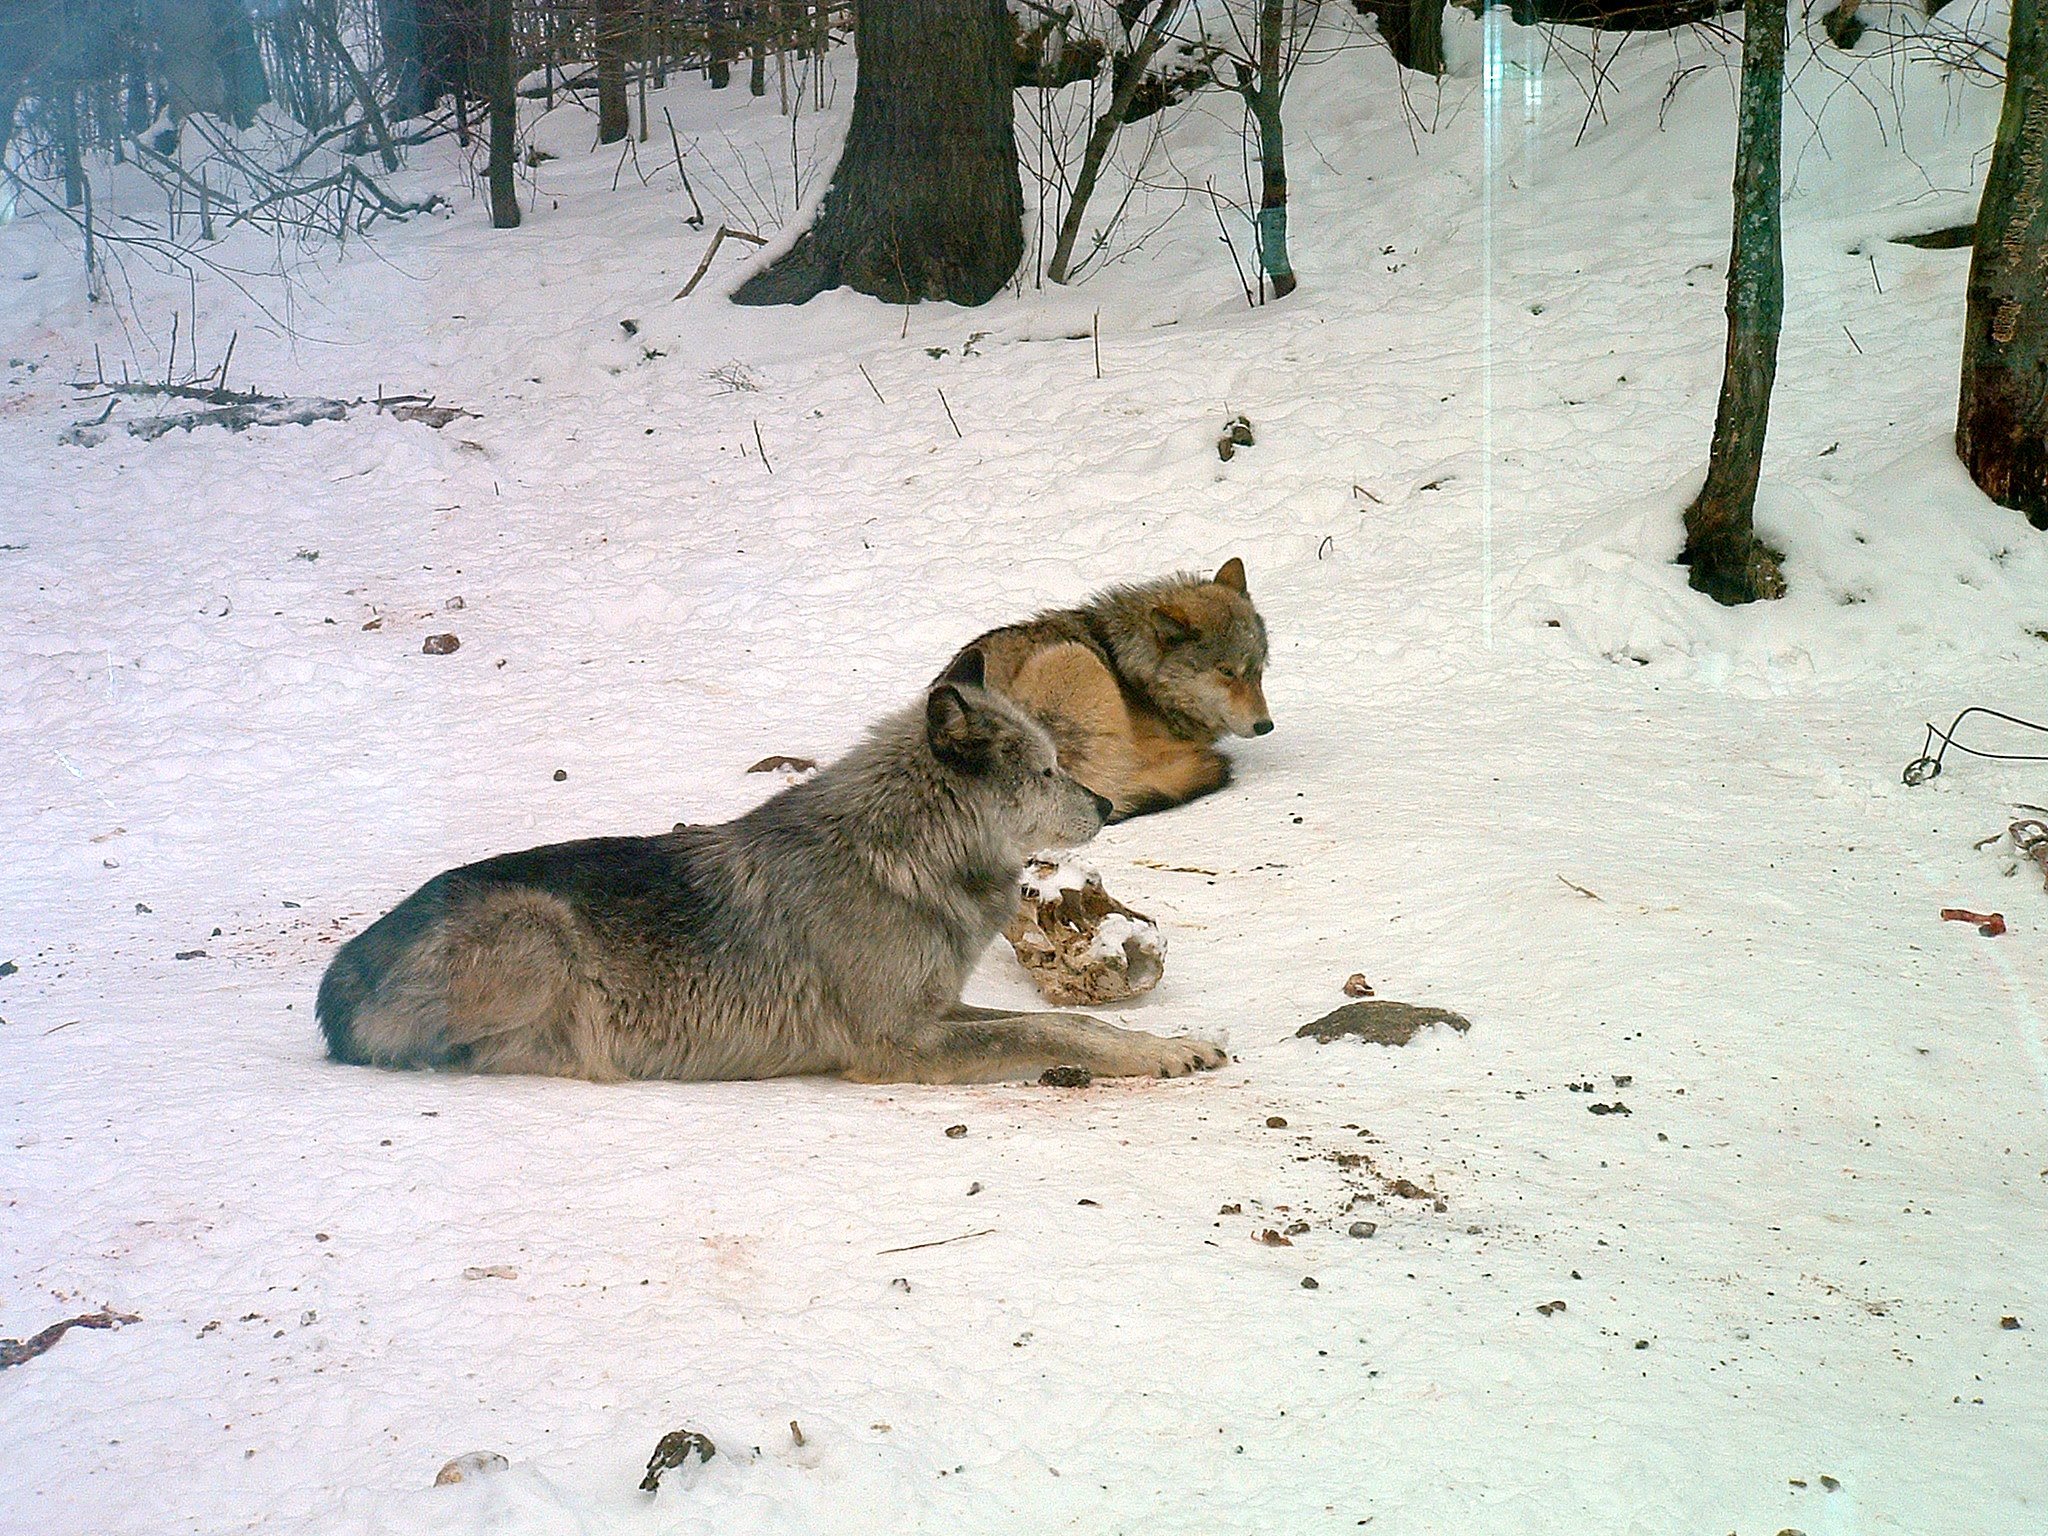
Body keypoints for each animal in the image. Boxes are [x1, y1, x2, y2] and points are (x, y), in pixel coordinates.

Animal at [315, 652, 1227, 1085]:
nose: (1105, 806)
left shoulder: (937, 1010)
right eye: (1044, 772)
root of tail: (335, 977)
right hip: (541, 931)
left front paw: (1174, 1041)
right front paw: (1165, 1057)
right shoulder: (900, 1044)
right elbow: (1058, 1027)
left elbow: (1073, 1023)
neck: (903, 857)